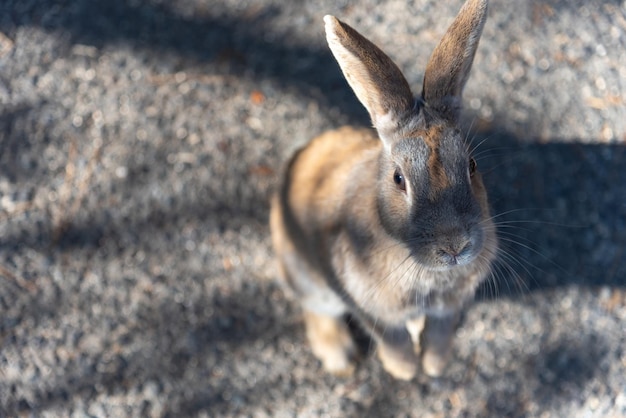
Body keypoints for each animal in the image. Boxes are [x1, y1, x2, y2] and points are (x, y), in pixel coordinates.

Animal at [268, 0, 498, 380]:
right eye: (398, 179)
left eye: (472, 165)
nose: (454, 246)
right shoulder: (366, 304)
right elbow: (391, 339)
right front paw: (405, 371)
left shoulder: (447, 310)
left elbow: (439, 334)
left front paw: (434, 366)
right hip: (306, 277)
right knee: (316, 310)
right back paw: (340, 358)